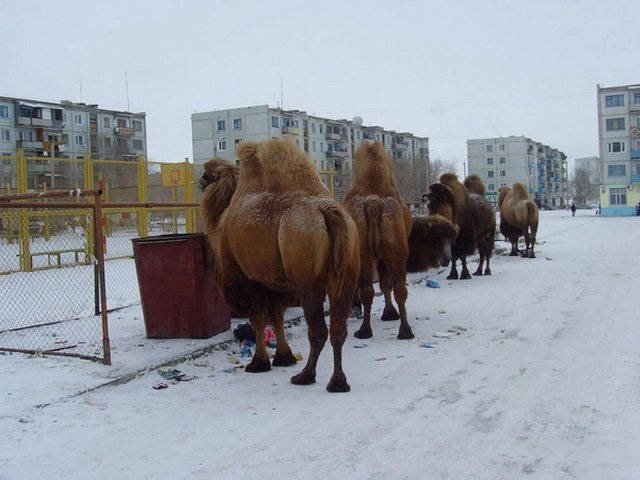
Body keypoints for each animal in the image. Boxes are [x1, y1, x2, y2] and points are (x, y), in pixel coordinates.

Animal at [200, 137, 360, 392]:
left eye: (207, 175)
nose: (199, 182)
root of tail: (328, 212)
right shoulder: (276, 282)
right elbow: (276, 315)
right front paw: (284, 358)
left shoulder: (249, 278)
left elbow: (257, 319)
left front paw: (258, 363)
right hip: (348, 272)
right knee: (338, 328)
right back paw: (338, 382)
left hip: (308, 279)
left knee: (318, 330)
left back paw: (305, 376)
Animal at [344, 141, 416, 340]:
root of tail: (373, 203)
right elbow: (385, 283)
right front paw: (389, 314)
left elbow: (383, 283)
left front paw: (388, 313)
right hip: (395, 248)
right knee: (398, 287)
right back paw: (404, 331)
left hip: (369, 251)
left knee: (371, 289)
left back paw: (365, 330)